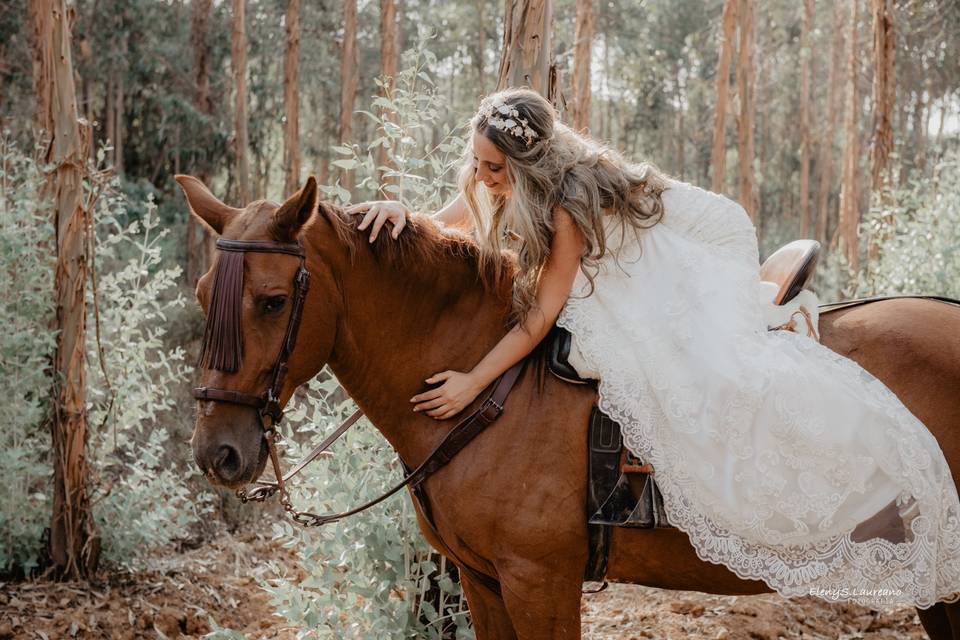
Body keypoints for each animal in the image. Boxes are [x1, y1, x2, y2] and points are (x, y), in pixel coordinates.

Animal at [176, 176, 960, 640]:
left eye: (271, 301)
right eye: (204, 292)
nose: (219, 452)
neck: (496, 381)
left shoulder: (539, 581)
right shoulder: (484, 579)